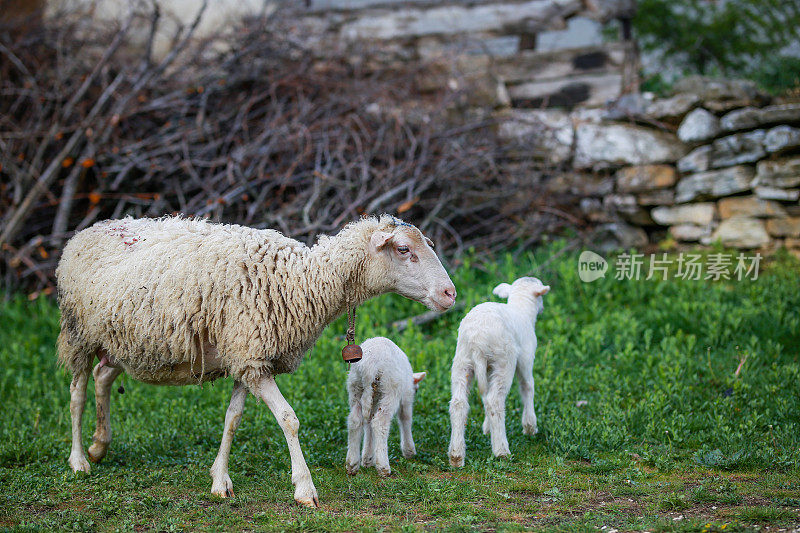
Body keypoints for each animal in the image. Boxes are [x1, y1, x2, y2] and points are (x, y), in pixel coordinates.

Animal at [346, 334, 428, 476]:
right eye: (416, 390)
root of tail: (369, 367)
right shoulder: (406, 396)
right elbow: (405, 418)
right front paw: (409, 451)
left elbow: (368, 424)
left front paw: (367, 459)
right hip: (390, 389)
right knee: (380, 422)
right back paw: (383, 467)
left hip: (356, 386)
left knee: (355, 421)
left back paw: (352, 465)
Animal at [444, 276, 552, 464]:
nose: (543, 308)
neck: (521, 308)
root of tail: (477, 340)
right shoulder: (526, 357)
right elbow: (527, 386)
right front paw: (530, 426)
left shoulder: (486, 369)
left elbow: (484, 395)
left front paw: (487, 428)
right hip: (503, 361)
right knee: (495, 401)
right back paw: (501, 450)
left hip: (462, 361)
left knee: (459, 403)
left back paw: (456, 456)